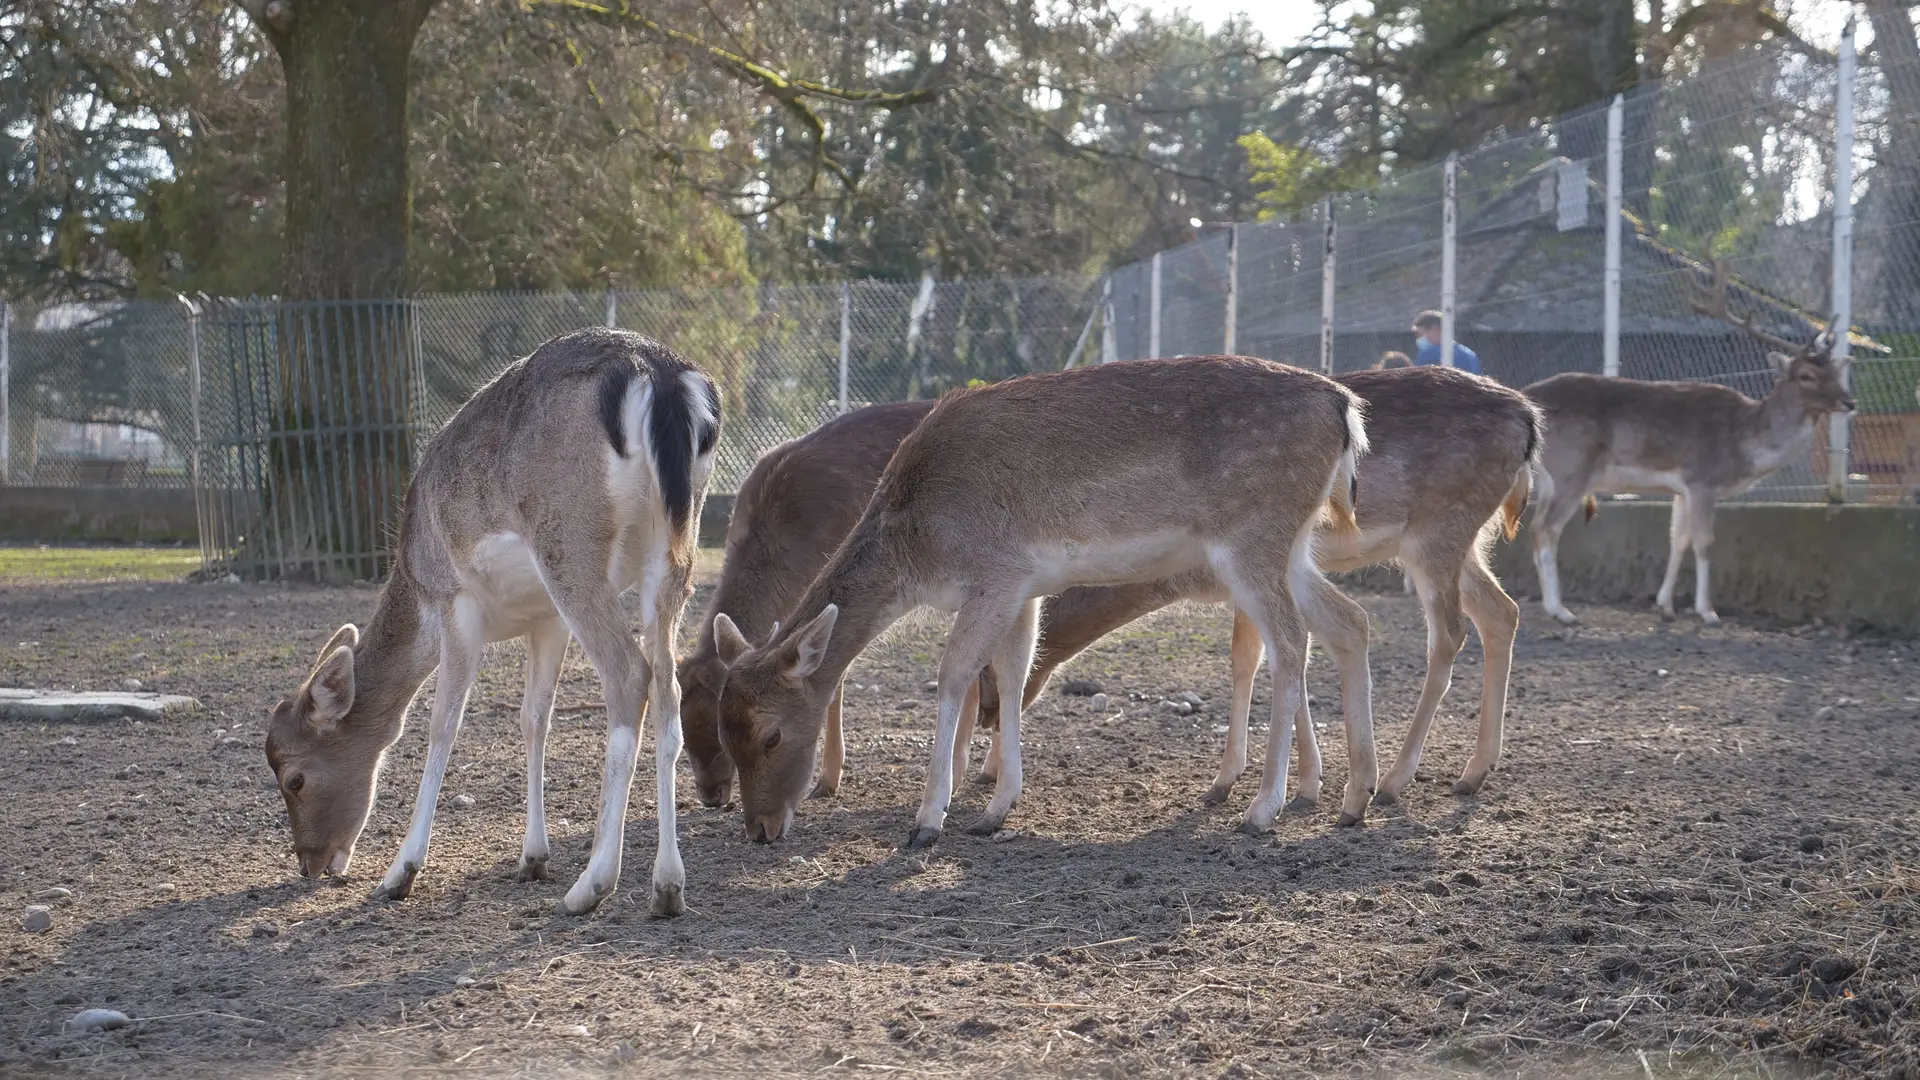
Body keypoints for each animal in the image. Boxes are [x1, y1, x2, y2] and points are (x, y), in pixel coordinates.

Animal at [263, 322, 721, 910]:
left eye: (294, 779)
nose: (310, 864)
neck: (414, 581)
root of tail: (659, 375)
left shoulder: (456, 601)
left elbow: (441, 723)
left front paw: (400, 871)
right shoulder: (546, 619)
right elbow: (532, 718)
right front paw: (532, 858)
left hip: (569, 547)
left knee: (629, 675)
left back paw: (592, 883)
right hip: (674, 549)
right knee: (668, 682)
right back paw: (666, 885)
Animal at [706, 357, 1382, 845]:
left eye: (770, 736)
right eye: (722, 726)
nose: (759, 830)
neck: (919, 549)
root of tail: (1346, 409)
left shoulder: (997, 572)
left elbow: (953, 675)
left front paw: (929, 821)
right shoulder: (1024, 589)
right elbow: (1009, 675)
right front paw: (995, 808)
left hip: (1253, 538)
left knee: (1291, 640)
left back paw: (1263, 809)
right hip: (1294, 546)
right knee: (1349, 621)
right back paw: (1355, 798)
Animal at [1520, 261, 1850, 626]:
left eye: (1836, 372)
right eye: (1806, 375)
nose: (1849, 402)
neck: (1745, 445)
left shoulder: (1681, 489)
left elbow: (1677, 540)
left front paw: (1665, 606)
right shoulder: (1703, 479)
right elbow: (1704, 542)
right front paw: (1708, 611)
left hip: (1549, 476)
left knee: (1533, 526)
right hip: (1572, 468)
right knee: (1546, 529)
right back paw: (1561, 610)